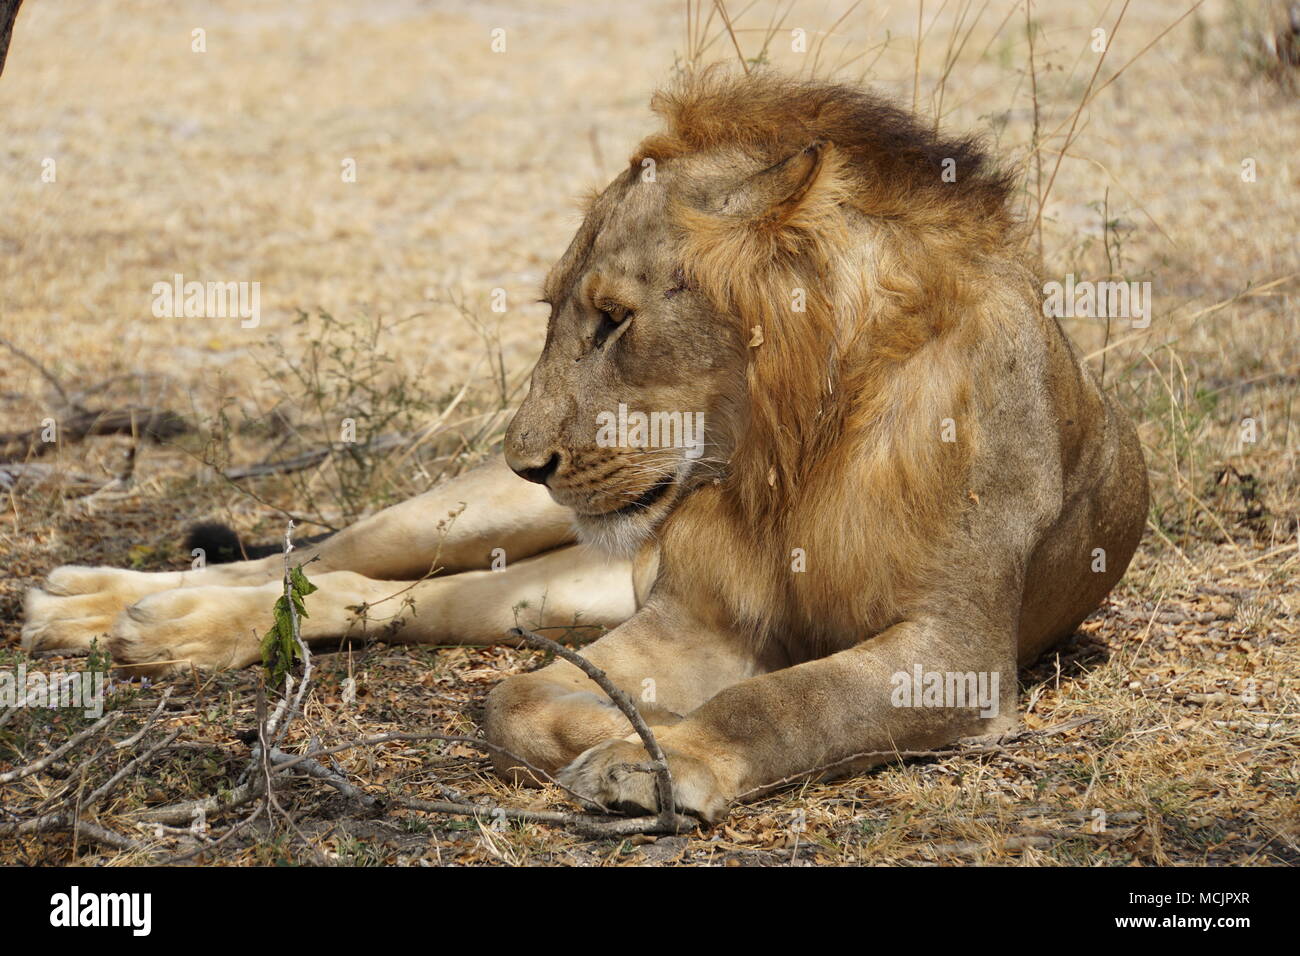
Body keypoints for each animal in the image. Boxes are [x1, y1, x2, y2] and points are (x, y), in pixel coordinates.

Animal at [22, 72, 1149, 822]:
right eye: (560, 314)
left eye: (613, 319)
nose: (531, 458)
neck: (786, 453)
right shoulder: (696, 621)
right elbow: (516, 695)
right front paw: (616, 735)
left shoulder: (951, 654)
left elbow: (786, 700)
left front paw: (646, 755)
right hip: (472, 515)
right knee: (319, 554)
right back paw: (108, 604)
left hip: (555, 586)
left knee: (384, 598)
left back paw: (147, 624)